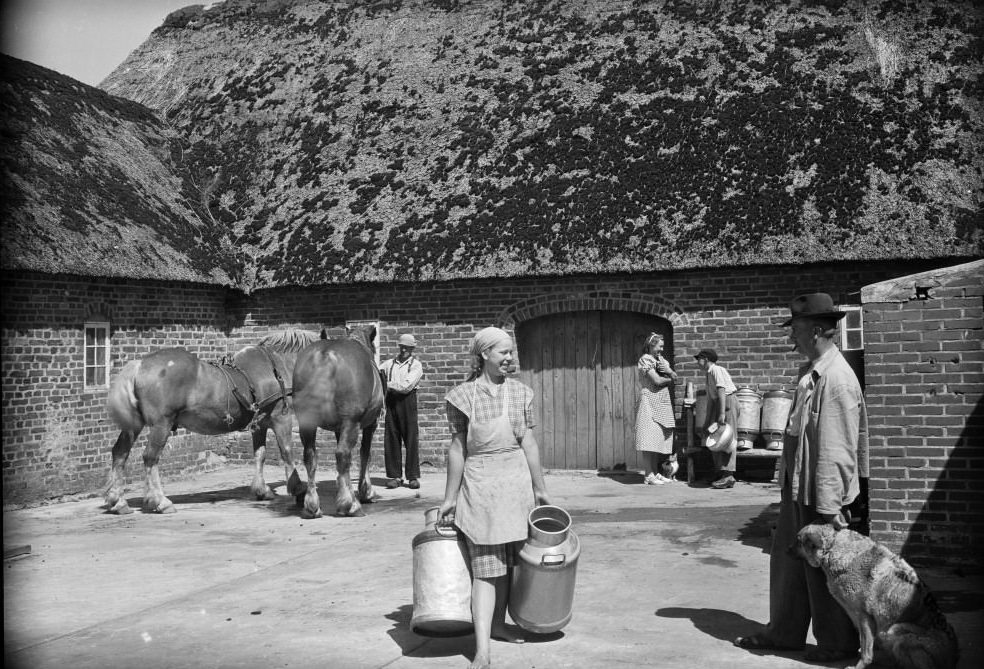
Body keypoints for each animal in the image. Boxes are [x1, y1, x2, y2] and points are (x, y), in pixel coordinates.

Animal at [104, 332, 320, 516]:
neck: (274, 367)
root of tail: (140, 364)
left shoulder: (260, 423)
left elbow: (260, 454)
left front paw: (262, 490)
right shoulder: (280, 417)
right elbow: (287, 452)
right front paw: (298, 489)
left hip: (134, 425)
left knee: (120, 452)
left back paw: (117, 500)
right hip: (161, 424)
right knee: (150, 457)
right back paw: (160, 500)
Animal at [290, 322, 386, 516]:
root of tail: (324, 355)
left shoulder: (337, 427)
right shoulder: (369, 425)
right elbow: (365, 453)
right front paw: (366, 492)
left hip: (307, 423)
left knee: (310, 456)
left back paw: (312, 505)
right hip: (351, 422)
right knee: (343, 454)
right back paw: (349, 504)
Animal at [792, 520, 960, 668]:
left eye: (798, 541)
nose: (787, 549)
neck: (833, 547)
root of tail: (953, 659)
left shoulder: (863, 616)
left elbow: (865, 652)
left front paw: (861, 665)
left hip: (895, 632)